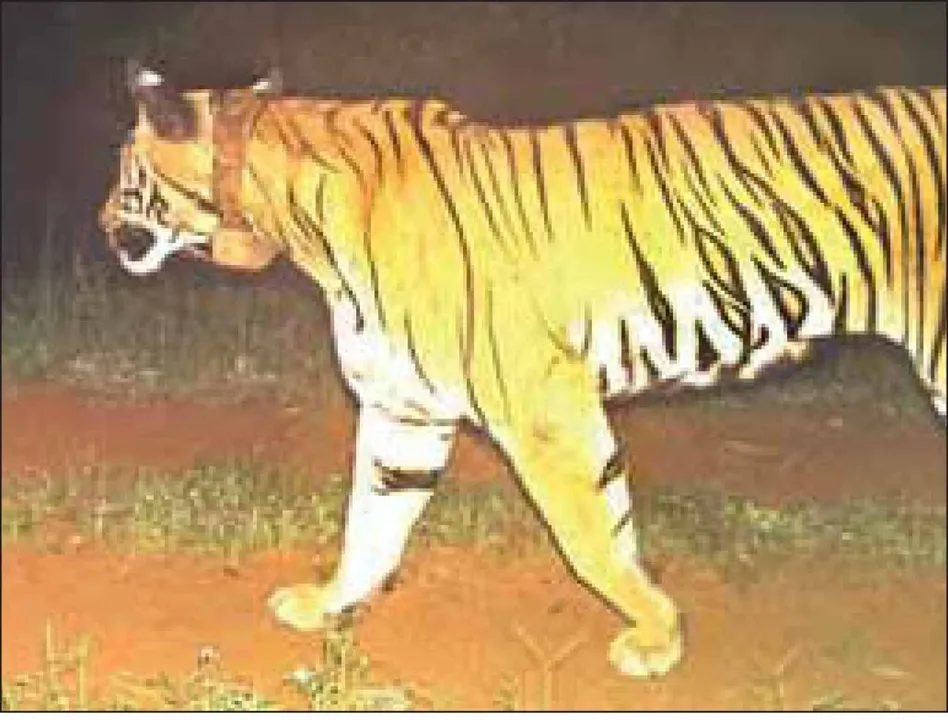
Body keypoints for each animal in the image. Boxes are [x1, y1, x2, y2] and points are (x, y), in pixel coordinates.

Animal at [99, 61, 946, 679]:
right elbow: (372, 520)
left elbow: (593, 539)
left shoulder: (542, 404)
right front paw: (328, 604)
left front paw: (657, 636)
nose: (104, 224)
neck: (294, 220)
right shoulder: (405, 409)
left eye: (125, 167)